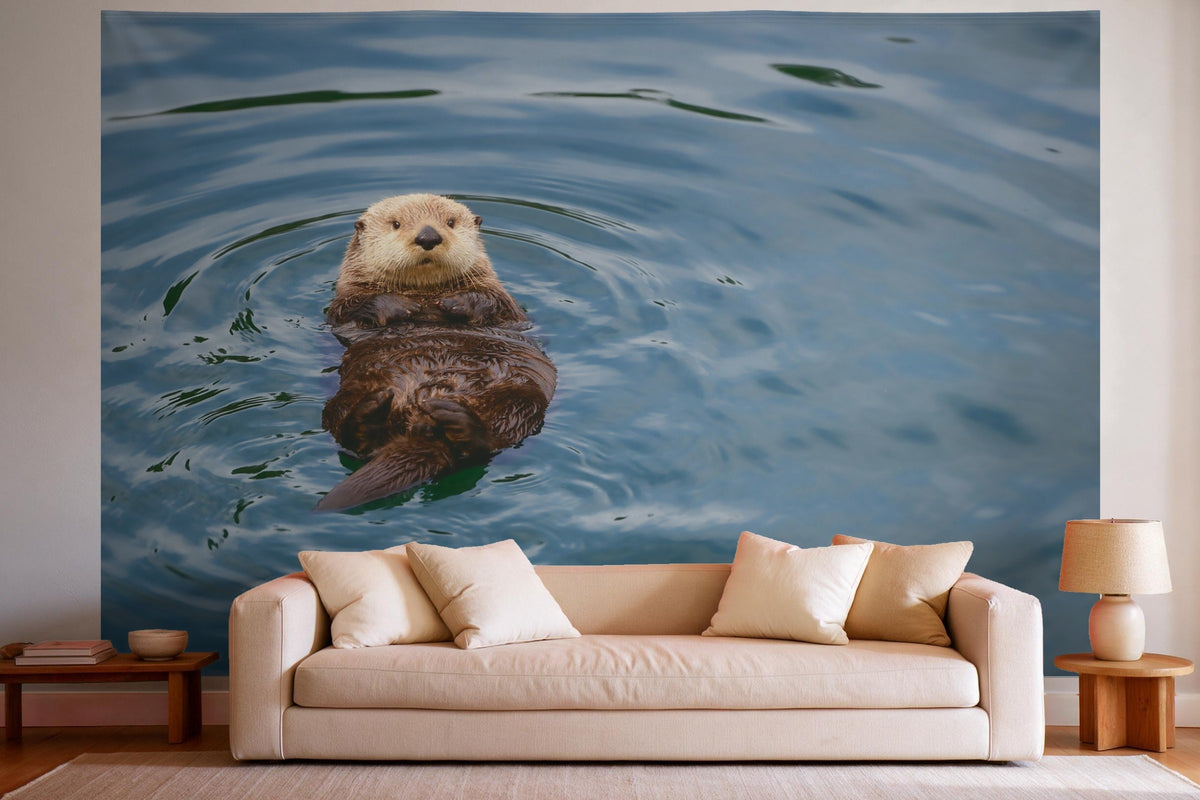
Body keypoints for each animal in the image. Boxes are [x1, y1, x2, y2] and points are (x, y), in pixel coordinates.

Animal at [317, 193, 556, 512]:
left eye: (450, 222)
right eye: (396, 224)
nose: (428, 236)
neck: (426, 296)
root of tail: (420, 428)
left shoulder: (507, 305)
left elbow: (494, 302)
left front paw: (457, 303)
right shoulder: (340, 307)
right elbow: (351, 307)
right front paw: (397, 306)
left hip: (520, 399)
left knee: (486, 445)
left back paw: (455, 419)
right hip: (346, 395)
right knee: (347, 434)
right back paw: (371, 410)